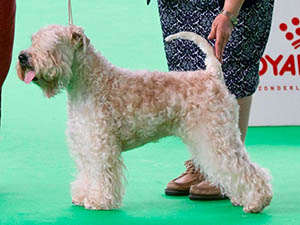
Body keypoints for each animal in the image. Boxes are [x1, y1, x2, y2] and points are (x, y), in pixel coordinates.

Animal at [17, 25, 274, 213]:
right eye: (33, 39)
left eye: (52, 44)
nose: (22, 57)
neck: (89, 82)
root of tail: (212, 75)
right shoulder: (84, 142)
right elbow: (86, 172)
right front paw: (82, 195)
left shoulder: (101, 145)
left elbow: (101, 173)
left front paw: (100, 201)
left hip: (215, 137)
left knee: (244, 169)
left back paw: (256, 201)